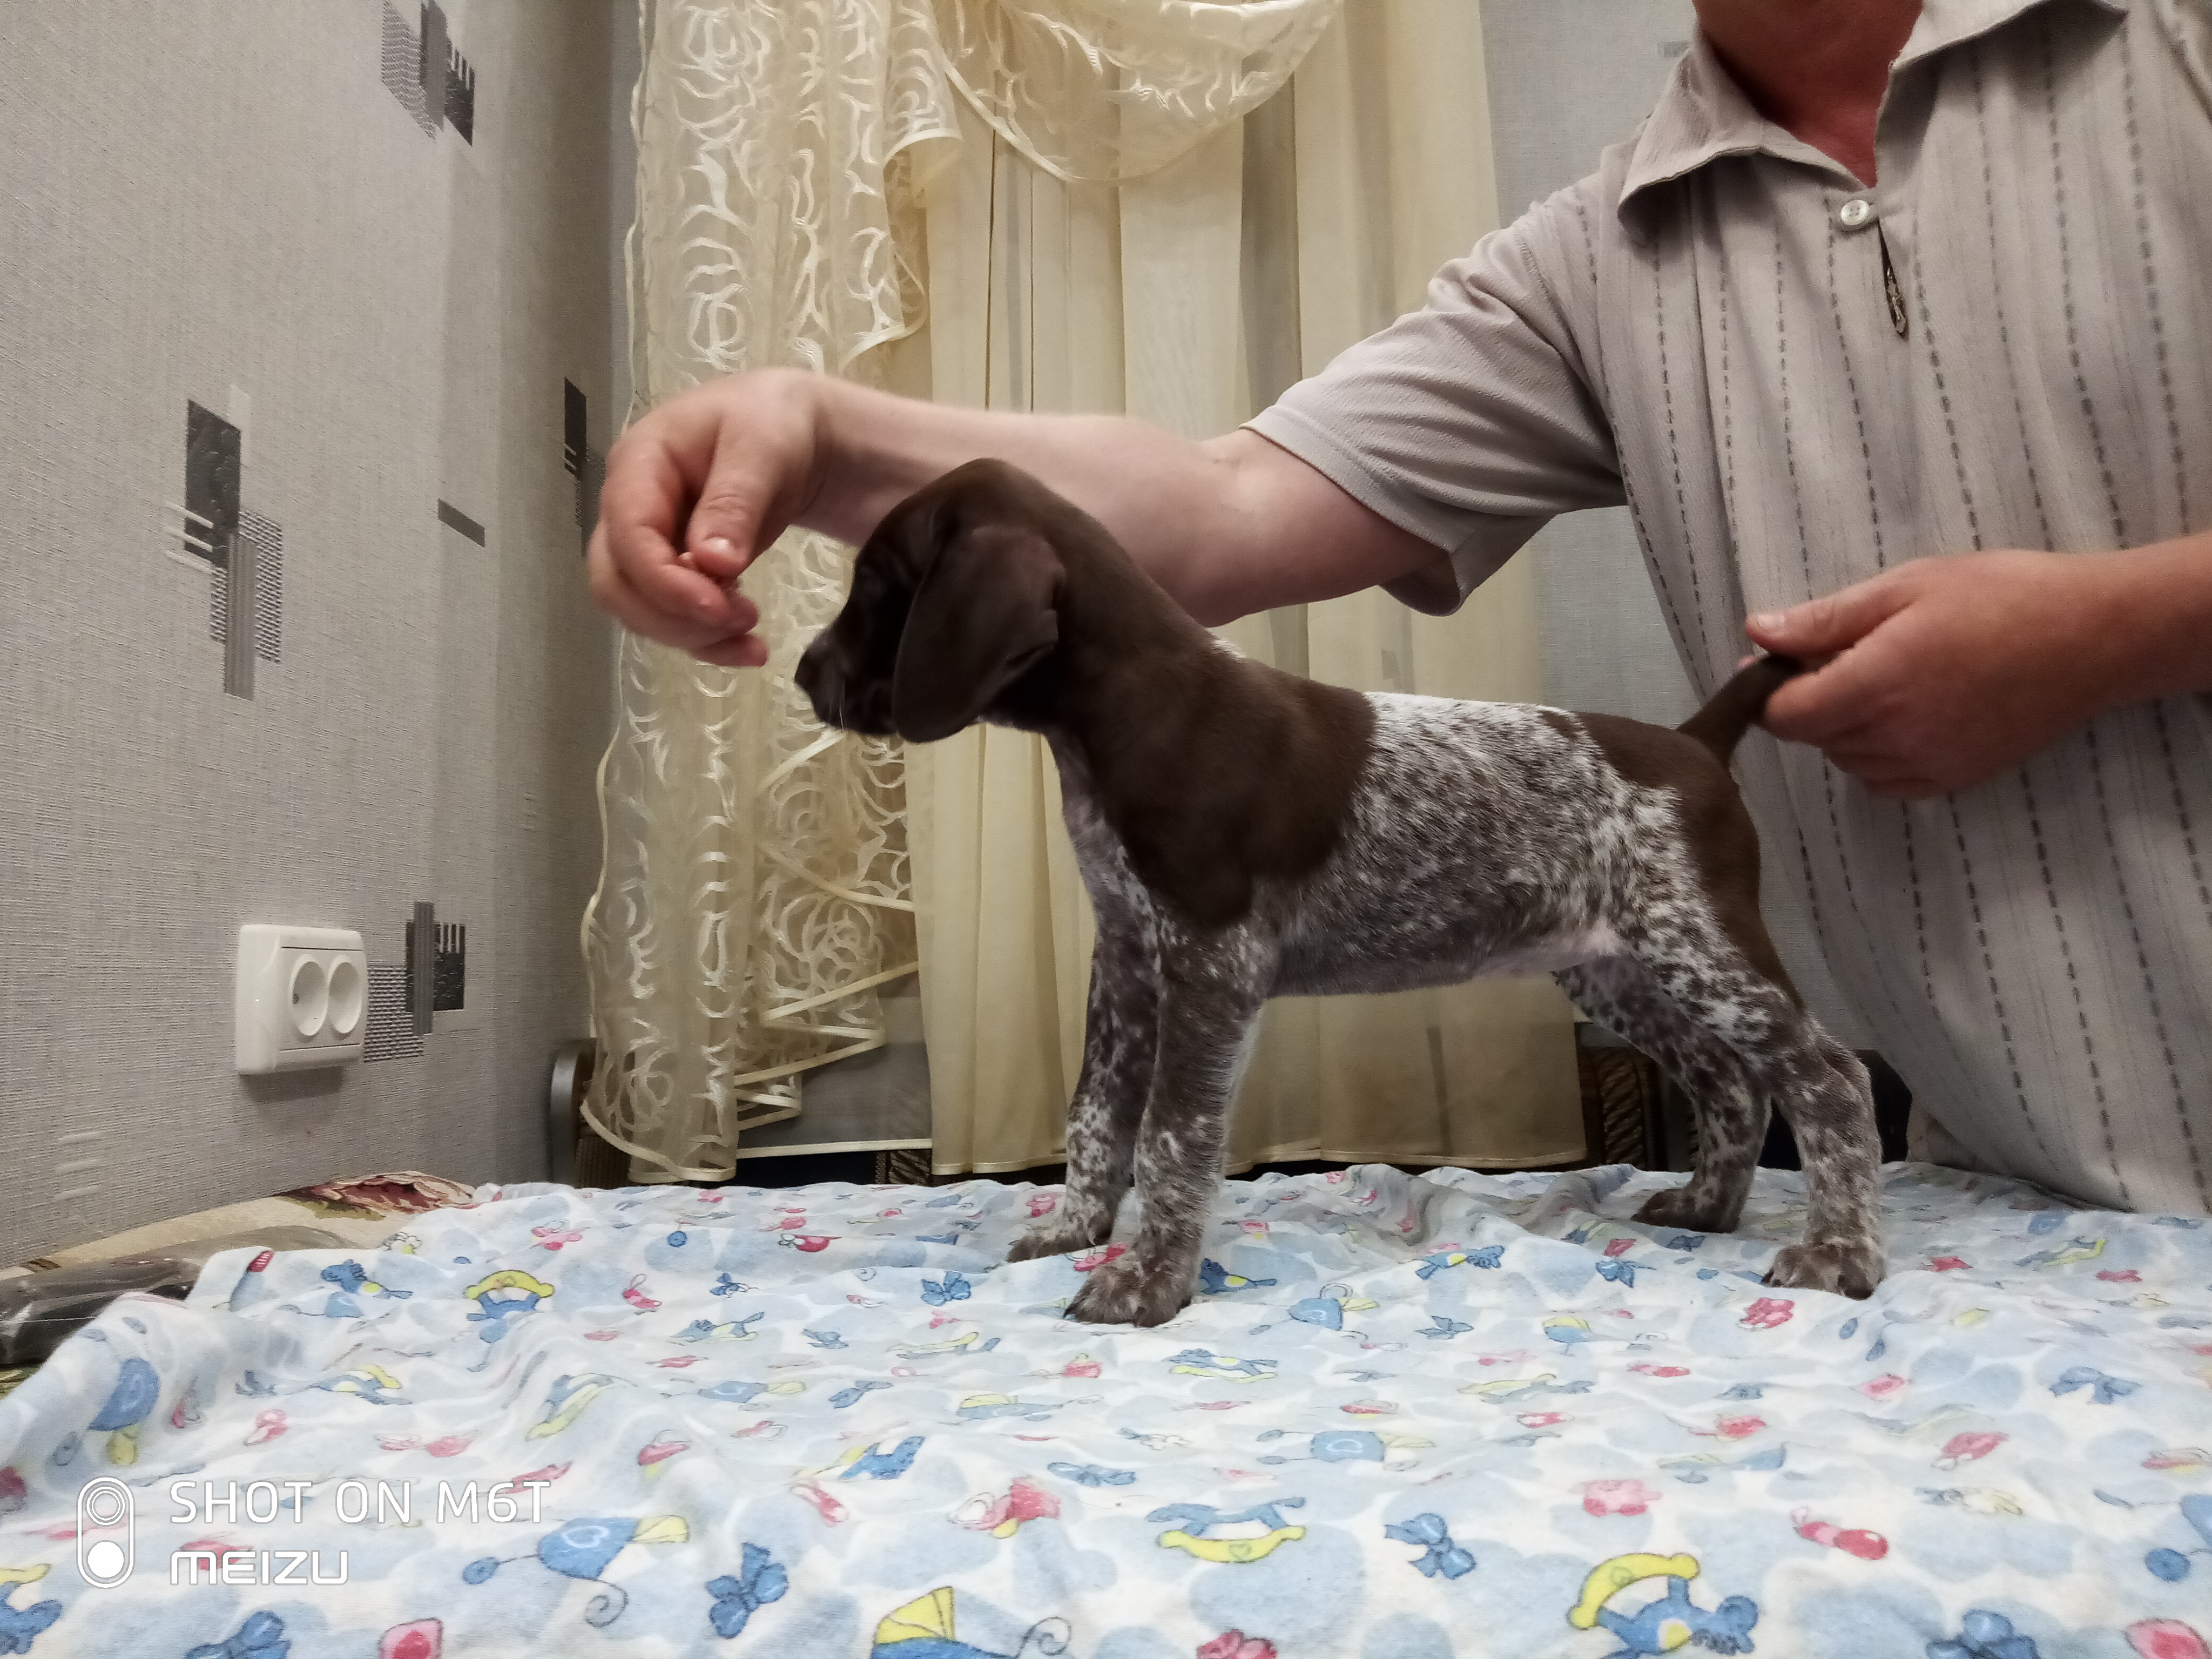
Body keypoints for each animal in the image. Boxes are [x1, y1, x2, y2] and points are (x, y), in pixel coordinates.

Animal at [797, 459, 1885, 1326]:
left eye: (877, 586)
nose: (805, 673)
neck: (1127, 711)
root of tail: (1694, 741)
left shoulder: (1212, 964)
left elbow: (1172, 1135)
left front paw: (1148, 1280)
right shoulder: (1129, 960)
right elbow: (1097, 1113)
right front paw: (1075, 1227)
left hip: (1698, 946)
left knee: (1828, 1075)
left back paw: (1842, 1252)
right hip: (1617, 969)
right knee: (1730, 1079)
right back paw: (1709, 1207)